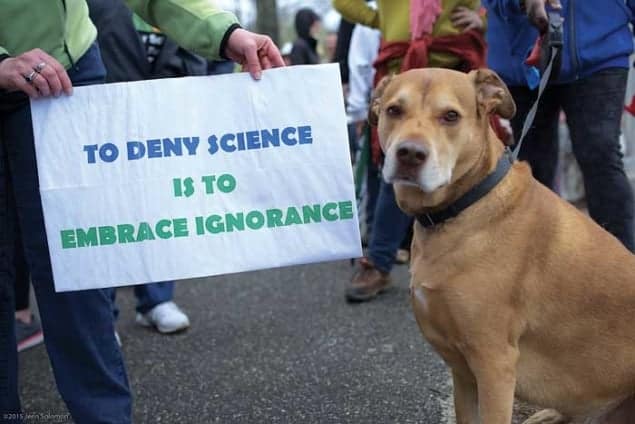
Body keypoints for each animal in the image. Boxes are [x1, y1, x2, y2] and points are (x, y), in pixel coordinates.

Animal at [370, 68, 635, 422]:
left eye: (451, 116)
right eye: (394, 110)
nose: (410, 154)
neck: (463, 207)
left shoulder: (494, 365)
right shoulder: (463, 373)